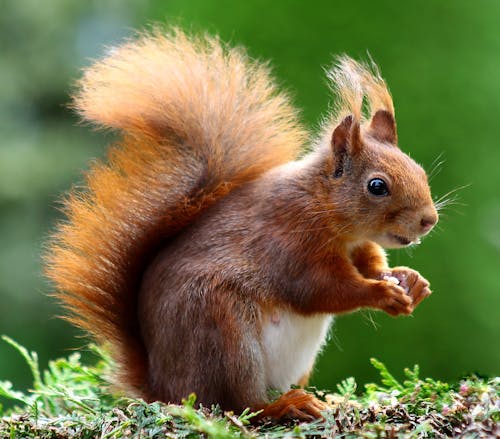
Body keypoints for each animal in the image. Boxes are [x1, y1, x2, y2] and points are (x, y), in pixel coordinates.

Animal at [46, 29, 438, 422]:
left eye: (419, 170)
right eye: (377, 186)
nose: (429, 220)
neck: (326, 212)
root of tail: (163, 388)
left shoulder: (358, 245)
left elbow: (371, 264)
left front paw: (409, 281)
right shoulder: (289, 242)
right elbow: (322, 289)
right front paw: (382, 293)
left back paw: (329, 400)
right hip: (224, 333)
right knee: (238, 404)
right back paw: (285, 405)